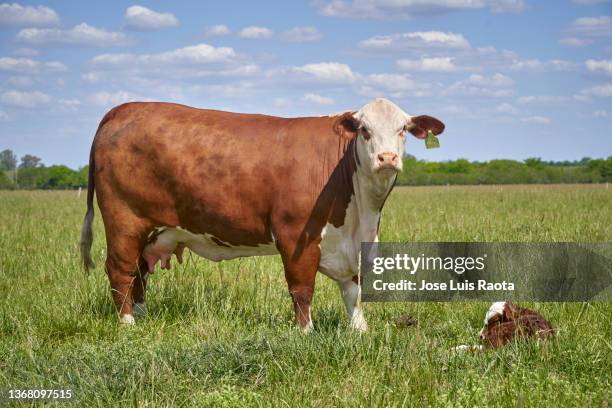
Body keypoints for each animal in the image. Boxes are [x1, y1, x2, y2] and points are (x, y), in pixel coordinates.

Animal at [81, 98, 444, 332]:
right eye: (364, 130)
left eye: (403, 129)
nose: (387, 158)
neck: (361, 213)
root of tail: (125, 108)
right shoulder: (296, 236)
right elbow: (302, 289)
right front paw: (306, 333)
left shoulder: (351, 243)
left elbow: (353, 292)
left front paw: (360, 331)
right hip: (125, 221)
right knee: (120, 270)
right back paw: (128, 324)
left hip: (153, 231)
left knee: (140, 272)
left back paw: (142, 316)